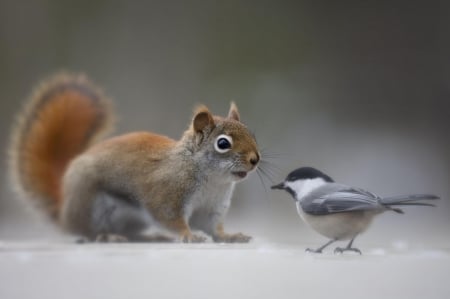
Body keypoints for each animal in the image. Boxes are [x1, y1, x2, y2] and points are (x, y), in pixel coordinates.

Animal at [8, 74, 260, 244]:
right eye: (223, 143)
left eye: (252, 134)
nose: (255, 159)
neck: (213, 181)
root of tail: (63, 212)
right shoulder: (166, 196)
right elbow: (173, 220)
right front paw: (190, 235)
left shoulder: (211, 208)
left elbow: (213, 228)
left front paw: (230, 236)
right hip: (91, 204)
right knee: (86, 233)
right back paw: (107, 236)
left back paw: (151, 237)